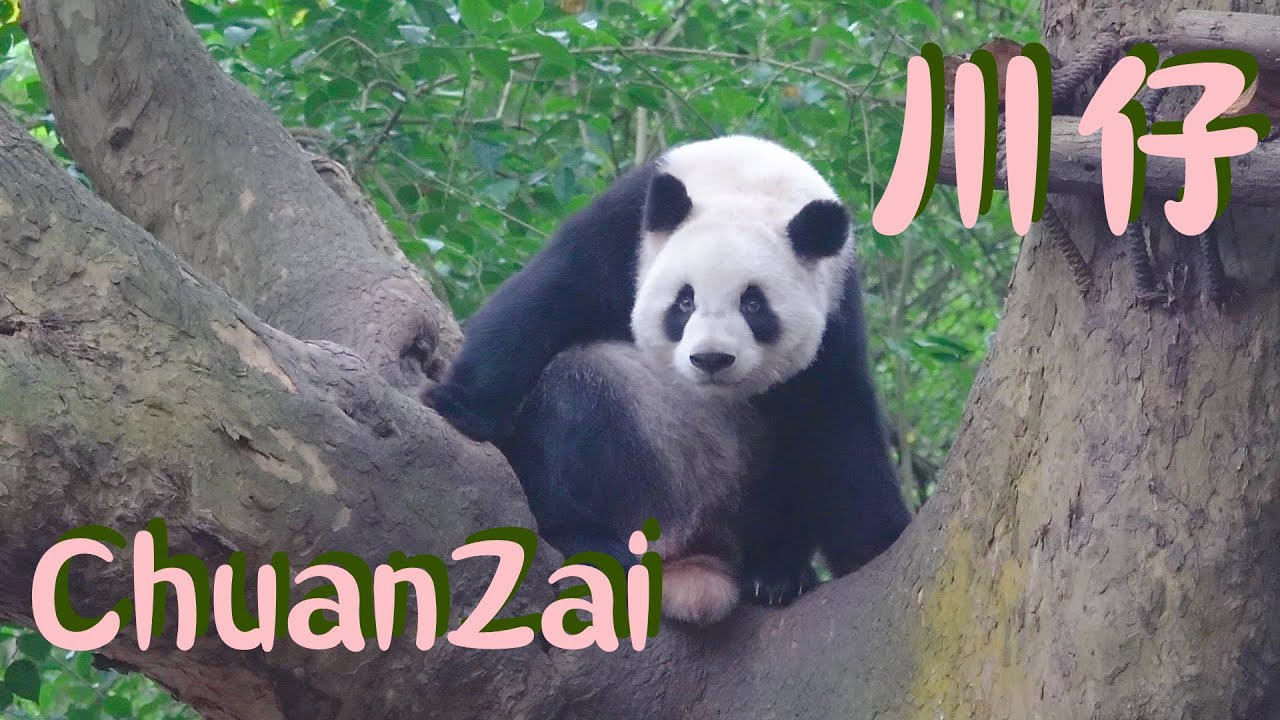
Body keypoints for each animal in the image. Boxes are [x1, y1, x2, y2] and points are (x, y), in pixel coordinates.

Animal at [427, 135, 912, 620]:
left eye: (753, 304)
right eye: (685, 301)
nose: (711, 359)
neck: (748, 181)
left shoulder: (836, 304)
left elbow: (837, 422)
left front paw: (876, 543)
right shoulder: (623, 228)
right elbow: (544, 302)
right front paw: (461, 407)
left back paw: (775, 573)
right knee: (580, 385)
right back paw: (588, 540)